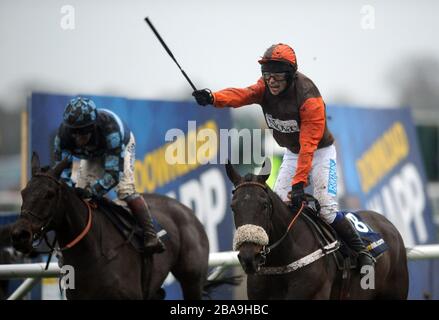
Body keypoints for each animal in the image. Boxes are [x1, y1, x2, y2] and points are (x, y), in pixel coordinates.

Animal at [10, 154, 210, 298]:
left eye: (49, 194)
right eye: (23, 192)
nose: (19, 235)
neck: (92, 254)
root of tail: (187, 210)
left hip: (192, 280)